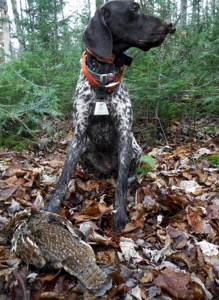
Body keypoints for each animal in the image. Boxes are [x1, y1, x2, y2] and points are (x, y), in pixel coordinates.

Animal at [46, 0, 175, 232]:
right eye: (134, 9)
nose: (169, 24)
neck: (103, 81)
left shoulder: (125, 134)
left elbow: (121, 184)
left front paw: (121, 215)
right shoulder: (78, 135)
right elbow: (63, 178)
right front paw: (50, 209)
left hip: (135, 147)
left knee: (129, 173)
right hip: (85, 148)